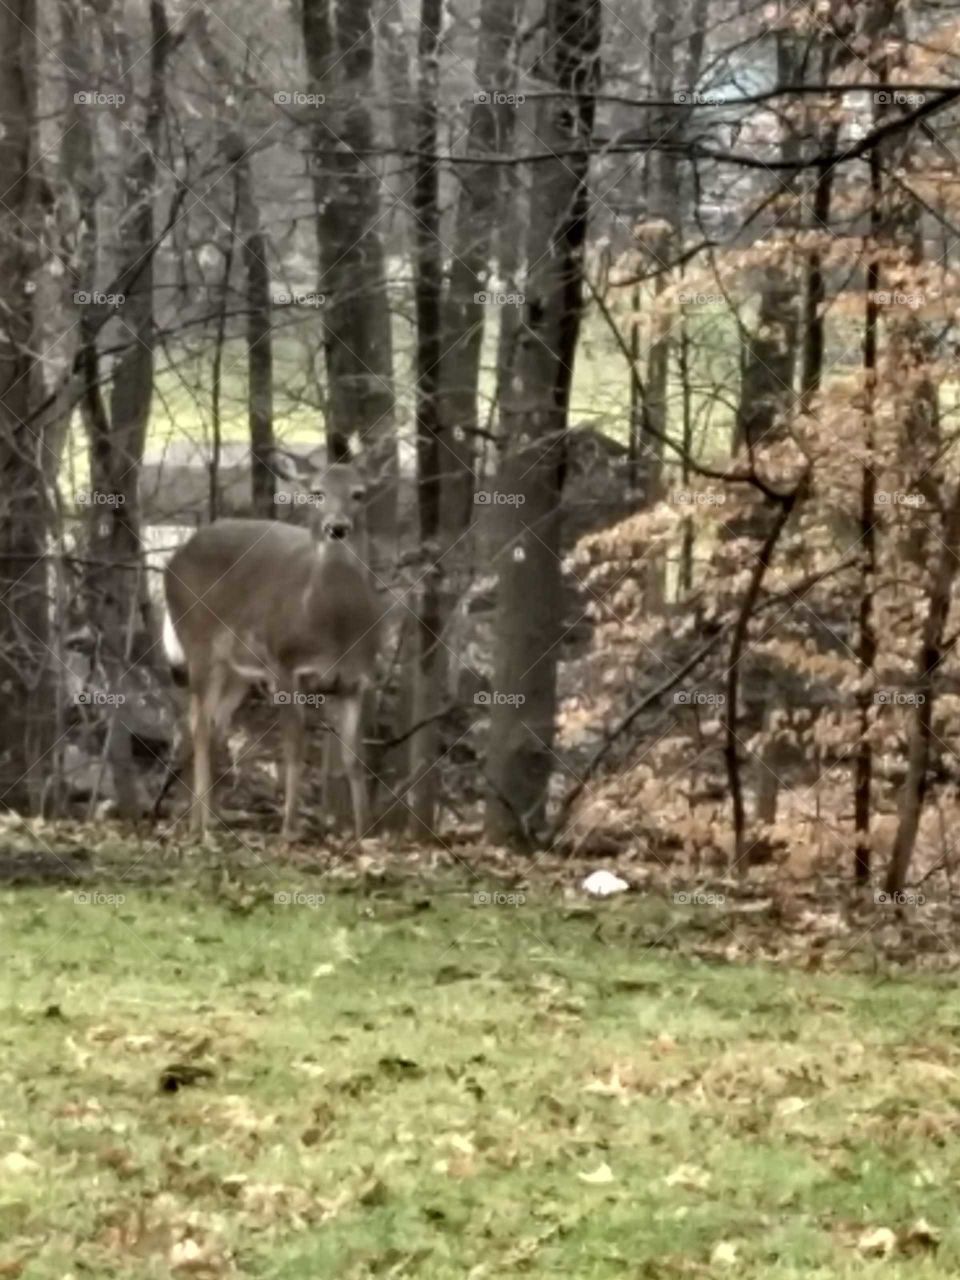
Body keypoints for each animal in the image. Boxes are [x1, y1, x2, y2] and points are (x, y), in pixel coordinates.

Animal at [162, 447, 382, 841]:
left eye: (358, 494)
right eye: (316, 493)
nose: (337, 527)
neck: (334, 625)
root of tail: (172, 559)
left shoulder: (356, 682)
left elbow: (354, 759)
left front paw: (363, 832)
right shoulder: (285, 668)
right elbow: (293, 750)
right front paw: (289, 830)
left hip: (238, 670)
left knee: (211, 723)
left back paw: (205, 818)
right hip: (198, 643)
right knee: (198, 724)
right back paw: (201, 829)